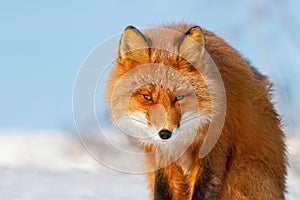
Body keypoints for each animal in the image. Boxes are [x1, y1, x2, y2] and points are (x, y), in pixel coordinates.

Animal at [105, 24, 286, 199]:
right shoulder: (164, 156)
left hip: (242, 172)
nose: (165, 133)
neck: (183, 140)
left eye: (179, 97)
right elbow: (162, 191)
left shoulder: (214, 151)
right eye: (147, 97)